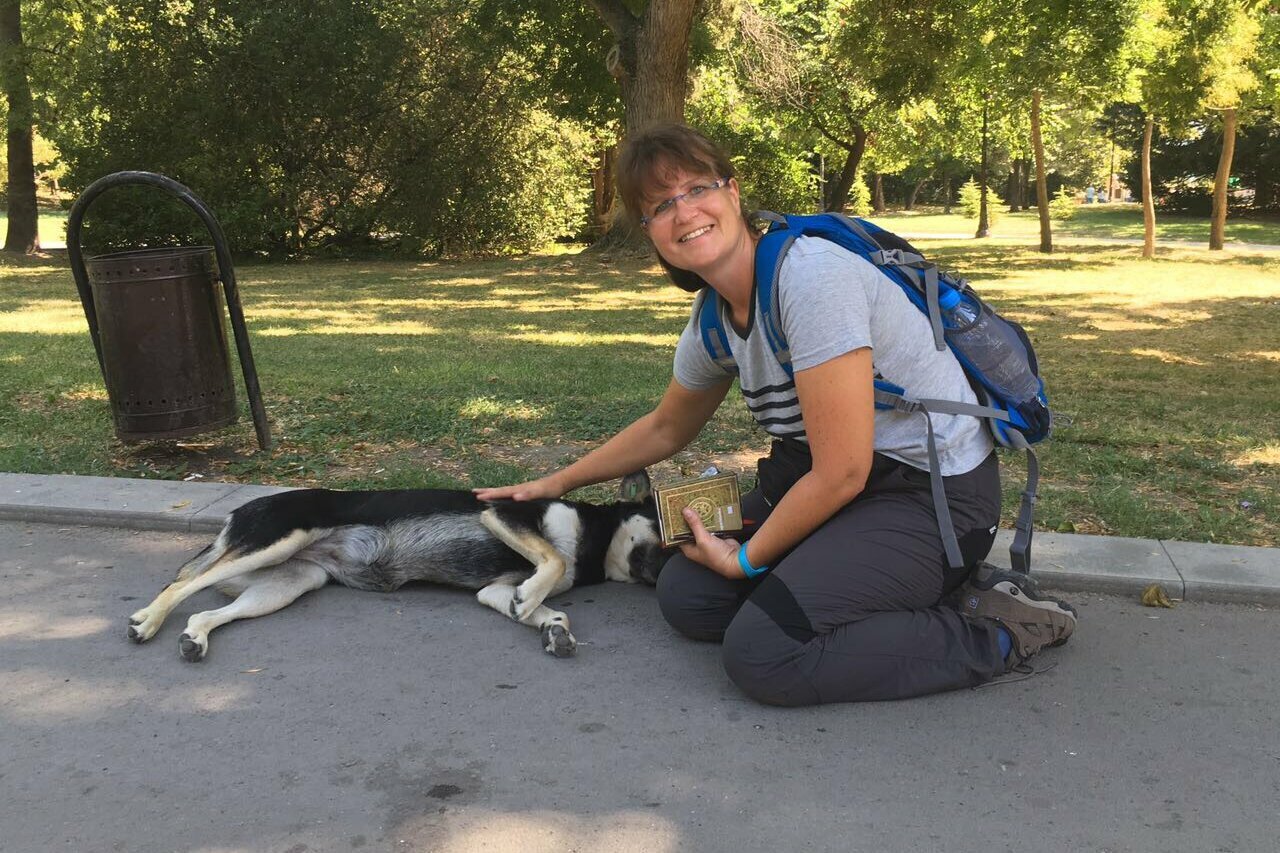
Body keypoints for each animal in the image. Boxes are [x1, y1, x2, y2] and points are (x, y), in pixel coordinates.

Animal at [127, 471, 670, 655]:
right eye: (669, 535)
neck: (593, 542)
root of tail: (240, 510)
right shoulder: (503, 513)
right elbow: (552, 559)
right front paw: (539, 601)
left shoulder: (493, 589)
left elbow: (540, 606)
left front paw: (551, 626)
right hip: (278, 541)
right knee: (181, 587)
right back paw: (148, 620)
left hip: (289, 582)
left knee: (204, 610)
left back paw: (195, 639)